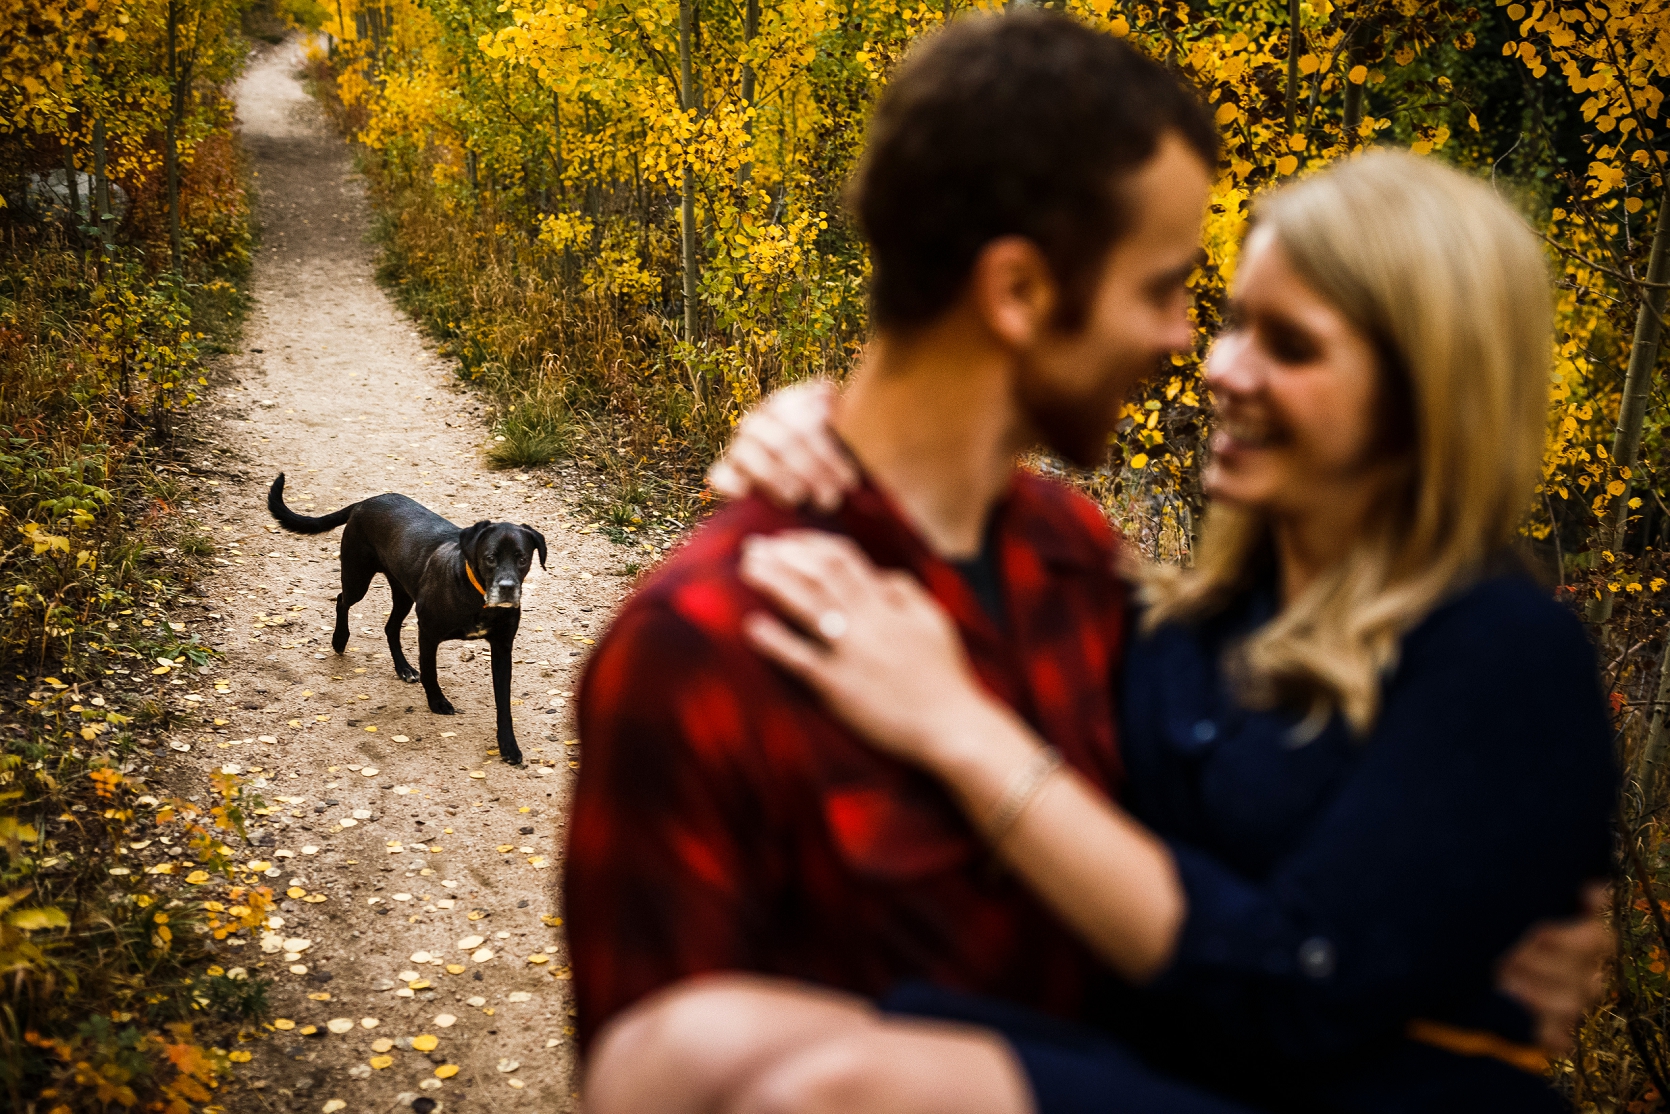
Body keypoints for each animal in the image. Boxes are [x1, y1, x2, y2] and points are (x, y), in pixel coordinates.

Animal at [263, 470, 544, 768]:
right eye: (490, 558)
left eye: (523, 559)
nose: (507, 587)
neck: (476, 596)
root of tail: (365, 502)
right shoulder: (429, 634)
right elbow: (431, 673)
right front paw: (437, 702)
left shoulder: (502, 648)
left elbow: (503, 703)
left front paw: (508, 745)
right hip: (357, 578)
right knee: (341, 600)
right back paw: (340, 640)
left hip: (402, 594)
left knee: (390, 628)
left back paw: (404, 668)